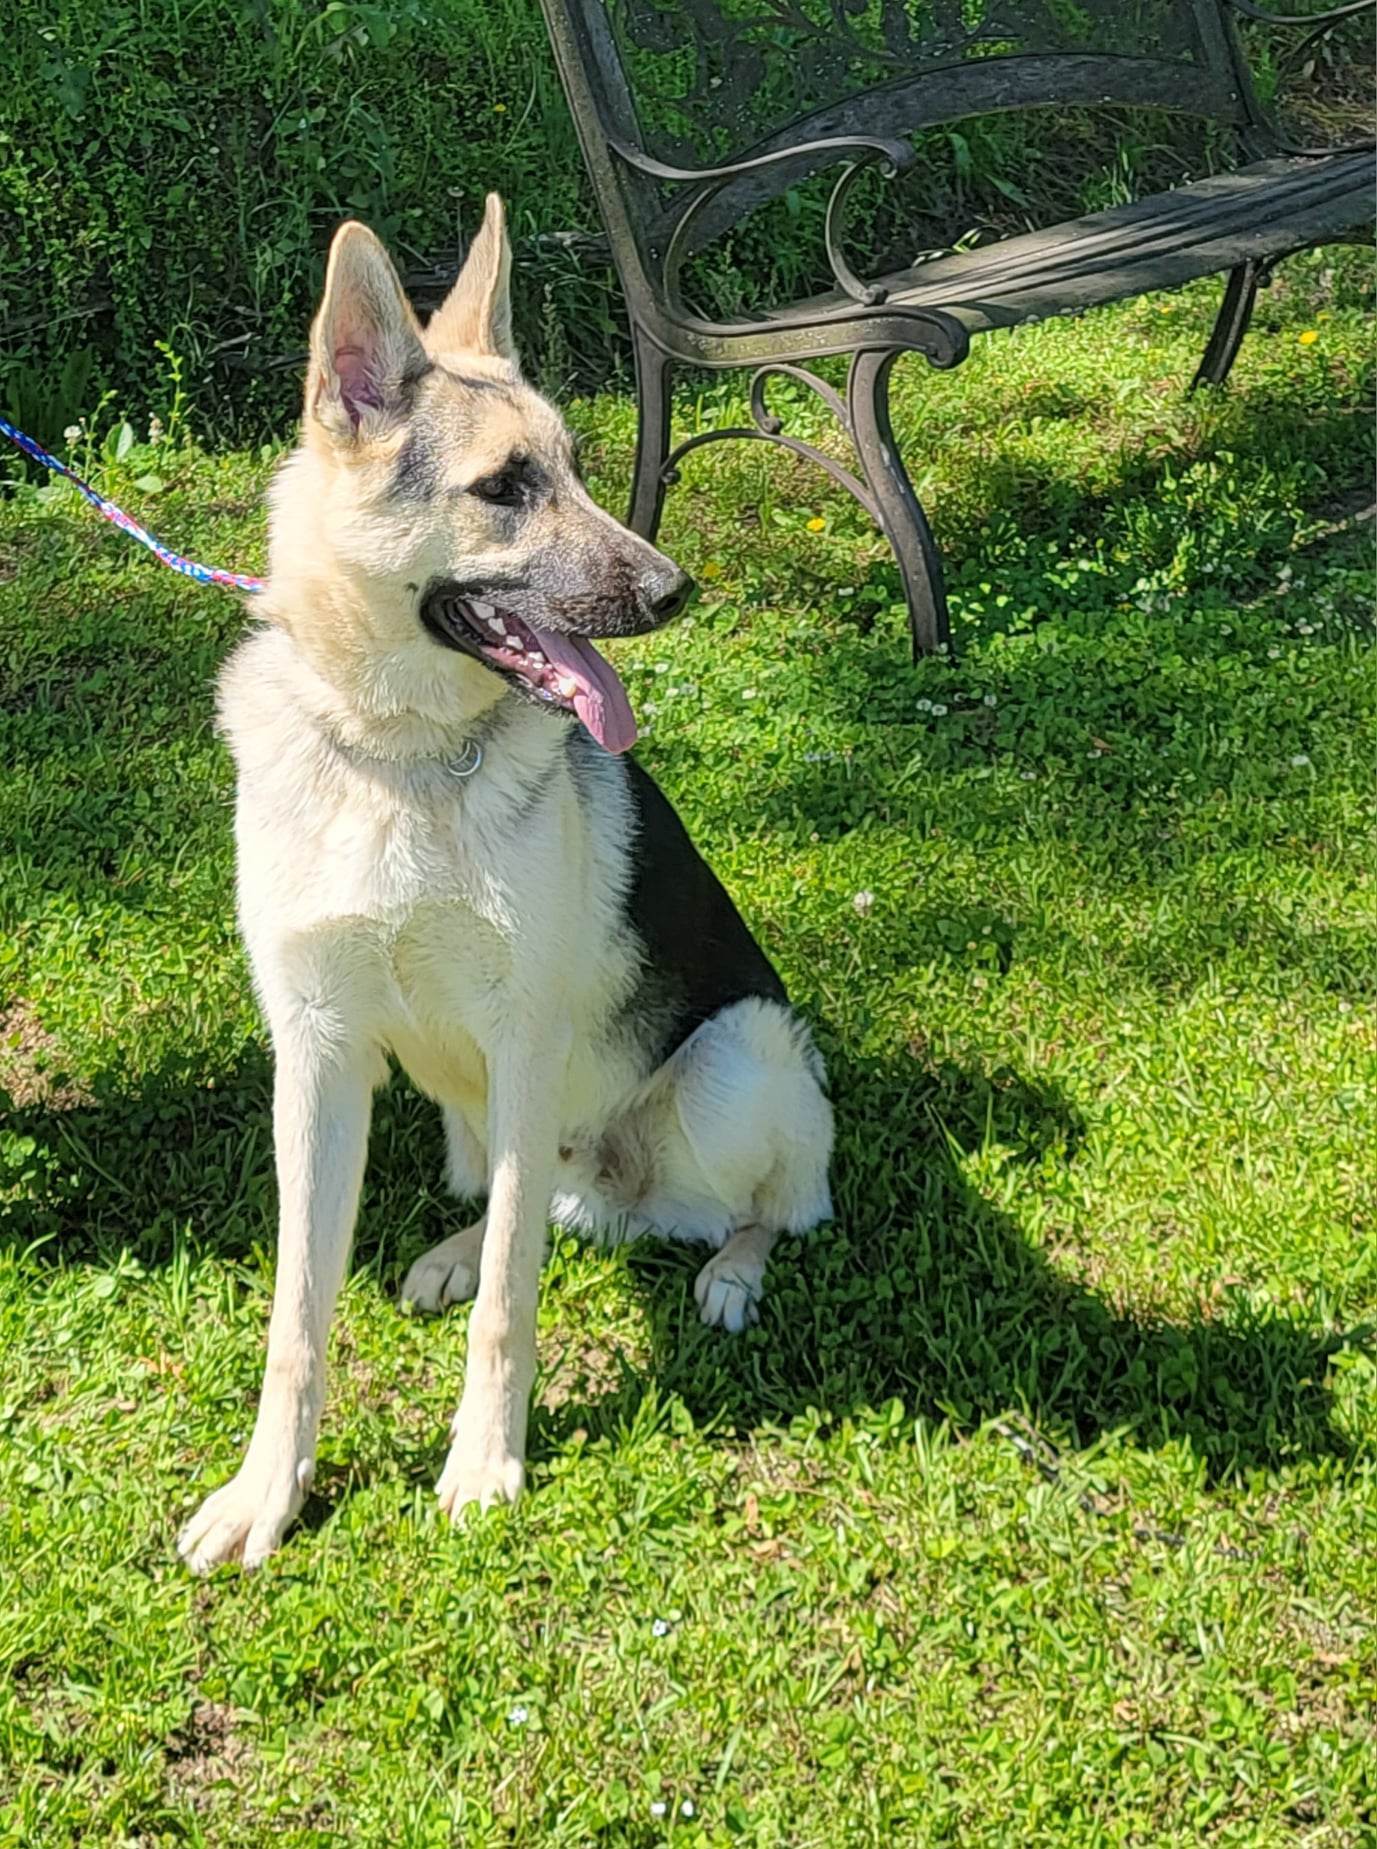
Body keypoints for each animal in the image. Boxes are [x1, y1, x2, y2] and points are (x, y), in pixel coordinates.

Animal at [177, 195, 831, 1567]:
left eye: (578, 468)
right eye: (505, 489)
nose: (675, 590)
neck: (400, 758)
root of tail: (624, 1194)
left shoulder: (523, 1039)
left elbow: (509, 1314)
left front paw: (483, 1462)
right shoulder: (317, 1061)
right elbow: (297, 1316)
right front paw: (269, 1489)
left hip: (733, 1062)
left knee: (772, 1205)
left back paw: (731, 1270)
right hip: (468, 1115)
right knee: (517, 1203)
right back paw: (462, 1245)